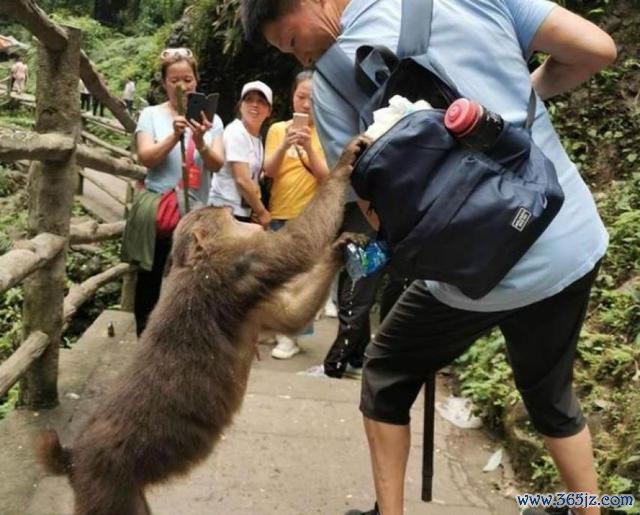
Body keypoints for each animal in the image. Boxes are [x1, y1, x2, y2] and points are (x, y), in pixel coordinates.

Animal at [35, 135, 372, 512]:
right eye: (219, 214)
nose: (230, 206)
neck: (199, 262)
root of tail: (72, 459)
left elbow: (291, 314)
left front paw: (341, 249)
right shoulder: (241, 266)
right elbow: (298, 244)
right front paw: (345, 162)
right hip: (107, 489)